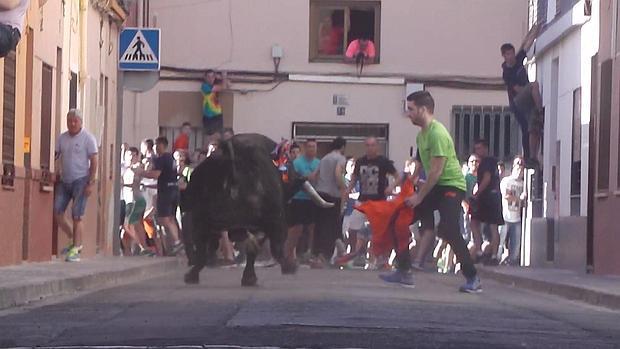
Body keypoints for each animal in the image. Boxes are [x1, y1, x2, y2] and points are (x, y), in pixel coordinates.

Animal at [183, 133, 330, 286]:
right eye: (289, 164)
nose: (301, 178)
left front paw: (249, 277)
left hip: (203, 219)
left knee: (204, 248)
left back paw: (193, 275)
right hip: (268, 220)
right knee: (271, 246)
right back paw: (289, 266)